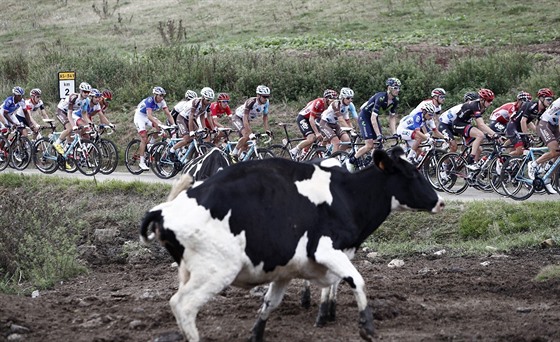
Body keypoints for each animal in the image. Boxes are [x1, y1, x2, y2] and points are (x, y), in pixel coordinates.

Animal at [139, 148, 442, 342]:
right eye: (413, 174)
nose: (439, 200)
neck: (346, 195)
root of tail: (164, 210)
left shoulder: (285, 268)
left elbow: (269, 303)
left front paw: (256, 334)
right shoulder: (326, 248)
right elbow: (357, 279)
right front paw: (365, 325)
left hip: (189, 272)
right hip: (215, 271)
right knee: (183, 306)